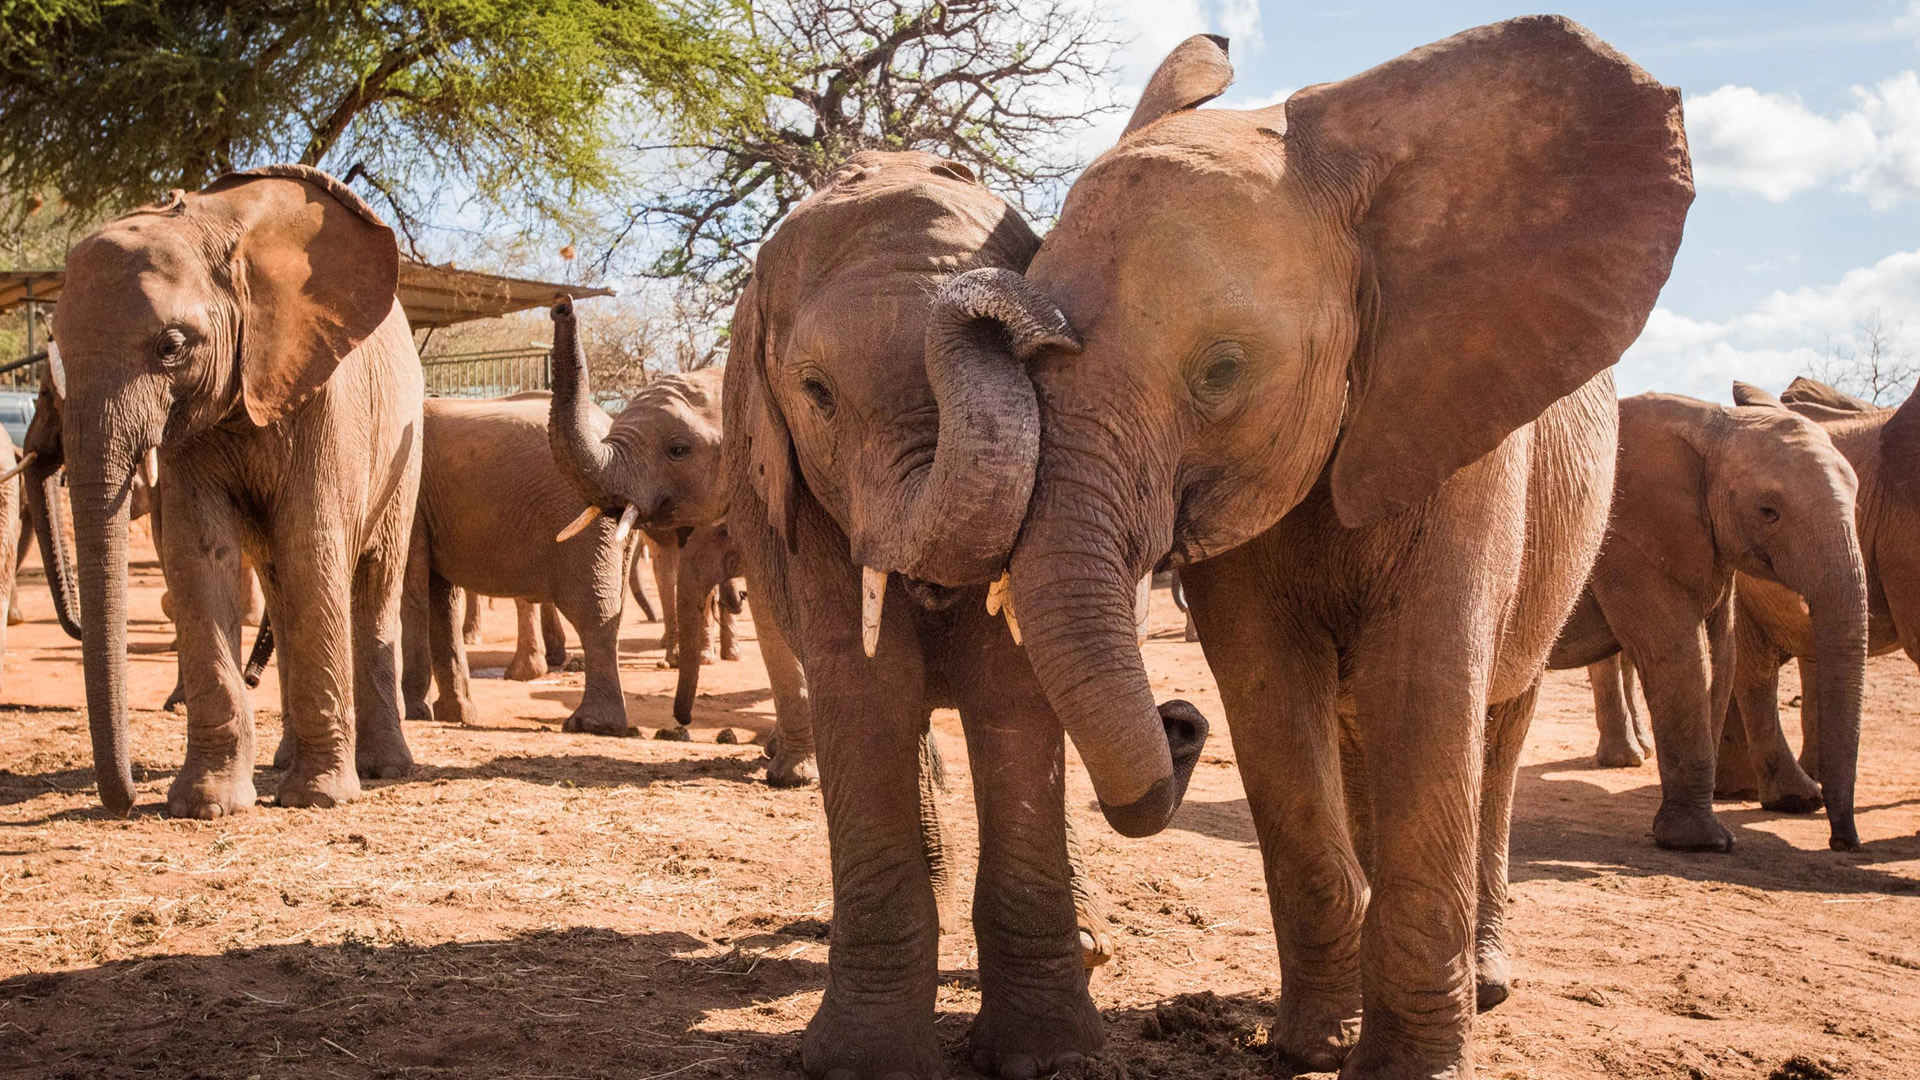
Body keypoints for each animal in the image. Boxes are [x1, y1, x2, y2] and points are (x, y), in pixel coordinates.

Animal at [41, 164, 424, 810]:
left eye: (171, 347)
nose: (124, 803)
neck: (213, 225)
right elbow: (198, 554)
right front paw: (206, 804)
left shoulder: (327, 395)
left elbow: (313, 544)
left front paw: (317, 799)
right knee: (281, 588)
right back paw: (286, 761)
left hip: (407, 447)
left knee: (371, 582)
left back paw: (383, 769)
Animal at [721, 153, 1136, 1076]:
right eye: (816, 393)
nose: (1043, 319)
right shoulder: (798, 494)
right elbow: (864, 691)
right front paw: (862, 1062)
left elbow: (1012, 689)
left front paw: (1048, 1056)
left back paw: (1089, 944)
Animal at [933, 21, 1697, 1068]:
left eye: (1222, 372)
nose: (1179, 721)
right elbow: (1265, 686)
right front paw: (1310, 1051)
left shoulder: (1460, 420)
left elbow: (1425, 678)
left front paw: (1409, 1068)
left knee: (1494, 726)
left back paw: (1486, 983)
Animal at [1543, 386, 1873, 849]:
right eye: (1768, 510)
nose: (1842, 843)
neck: (1715, 425)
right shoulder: (1629, 540)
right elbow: (1680, 657)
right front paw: (1702, 843)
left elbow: (1721, 658)